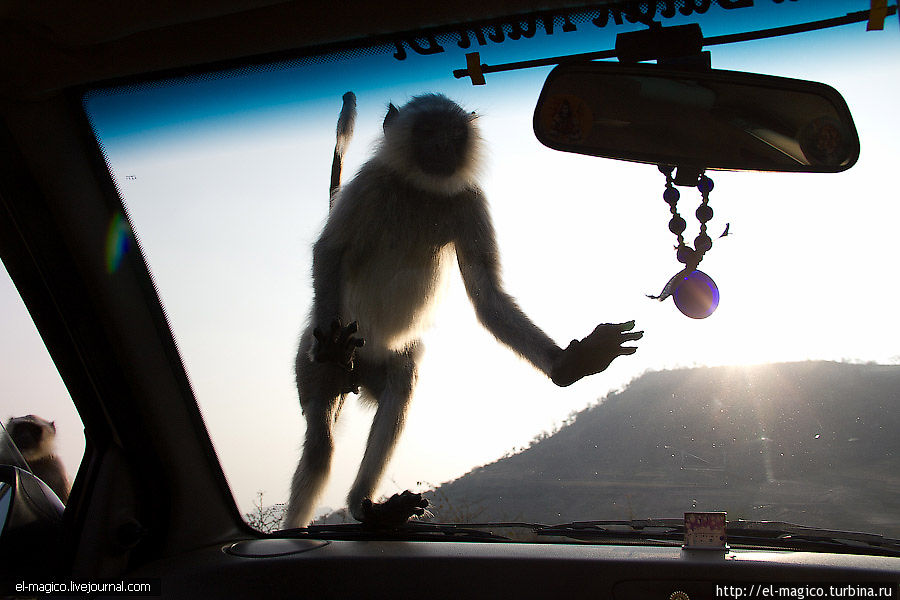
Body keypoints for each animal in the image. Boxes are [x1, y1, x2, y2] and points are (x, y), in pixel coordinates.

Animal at [284, 91, 644, 528]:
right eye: (427, 131)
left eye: (453, 134)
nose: (442, 147)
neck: (421, 190)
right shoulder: (371, 181)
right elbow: (330, 250)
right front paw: (335, 344)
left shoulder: (469, 200)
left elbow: (487, 295)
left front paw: (573, 362)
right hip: (313, 361)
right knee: (321, 445)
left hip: (382, 361)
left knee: (401, 383)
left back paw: (367, 507)